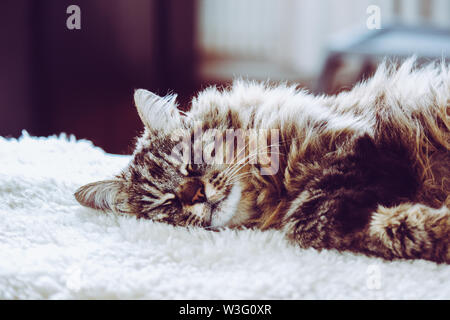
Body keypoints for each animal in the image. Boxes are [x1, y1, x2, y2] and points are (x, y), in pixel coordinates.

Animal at [74, 58, 450, 264]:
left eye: (190, 164)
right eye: (167, 204)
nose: (196, 195)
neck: (272, 192)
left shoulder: (361, 142)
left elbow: (310, 216)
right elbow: (373, 228)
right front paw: (437, 229)